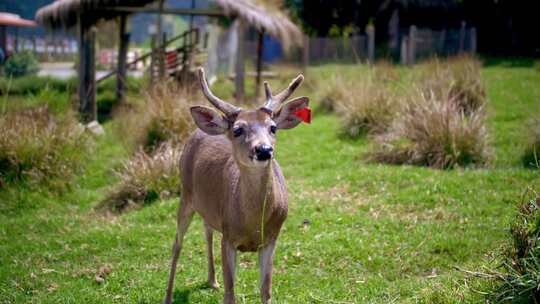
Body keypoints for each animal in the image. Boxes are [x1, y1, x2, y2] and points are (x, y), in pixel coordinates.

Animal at [162, 67, 310, 304]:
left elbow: (266, 290)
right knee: (177, 244)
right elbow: (230, 293)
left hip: (207, 207)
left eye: (273, 128)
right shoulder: (229, 238)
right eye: (239, 130)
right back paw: (168, 296)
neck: (253, 222)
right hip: (185, 193)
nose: (264, 150)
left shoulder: (271, 238)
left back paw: (212, 280)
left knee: (207, 230)